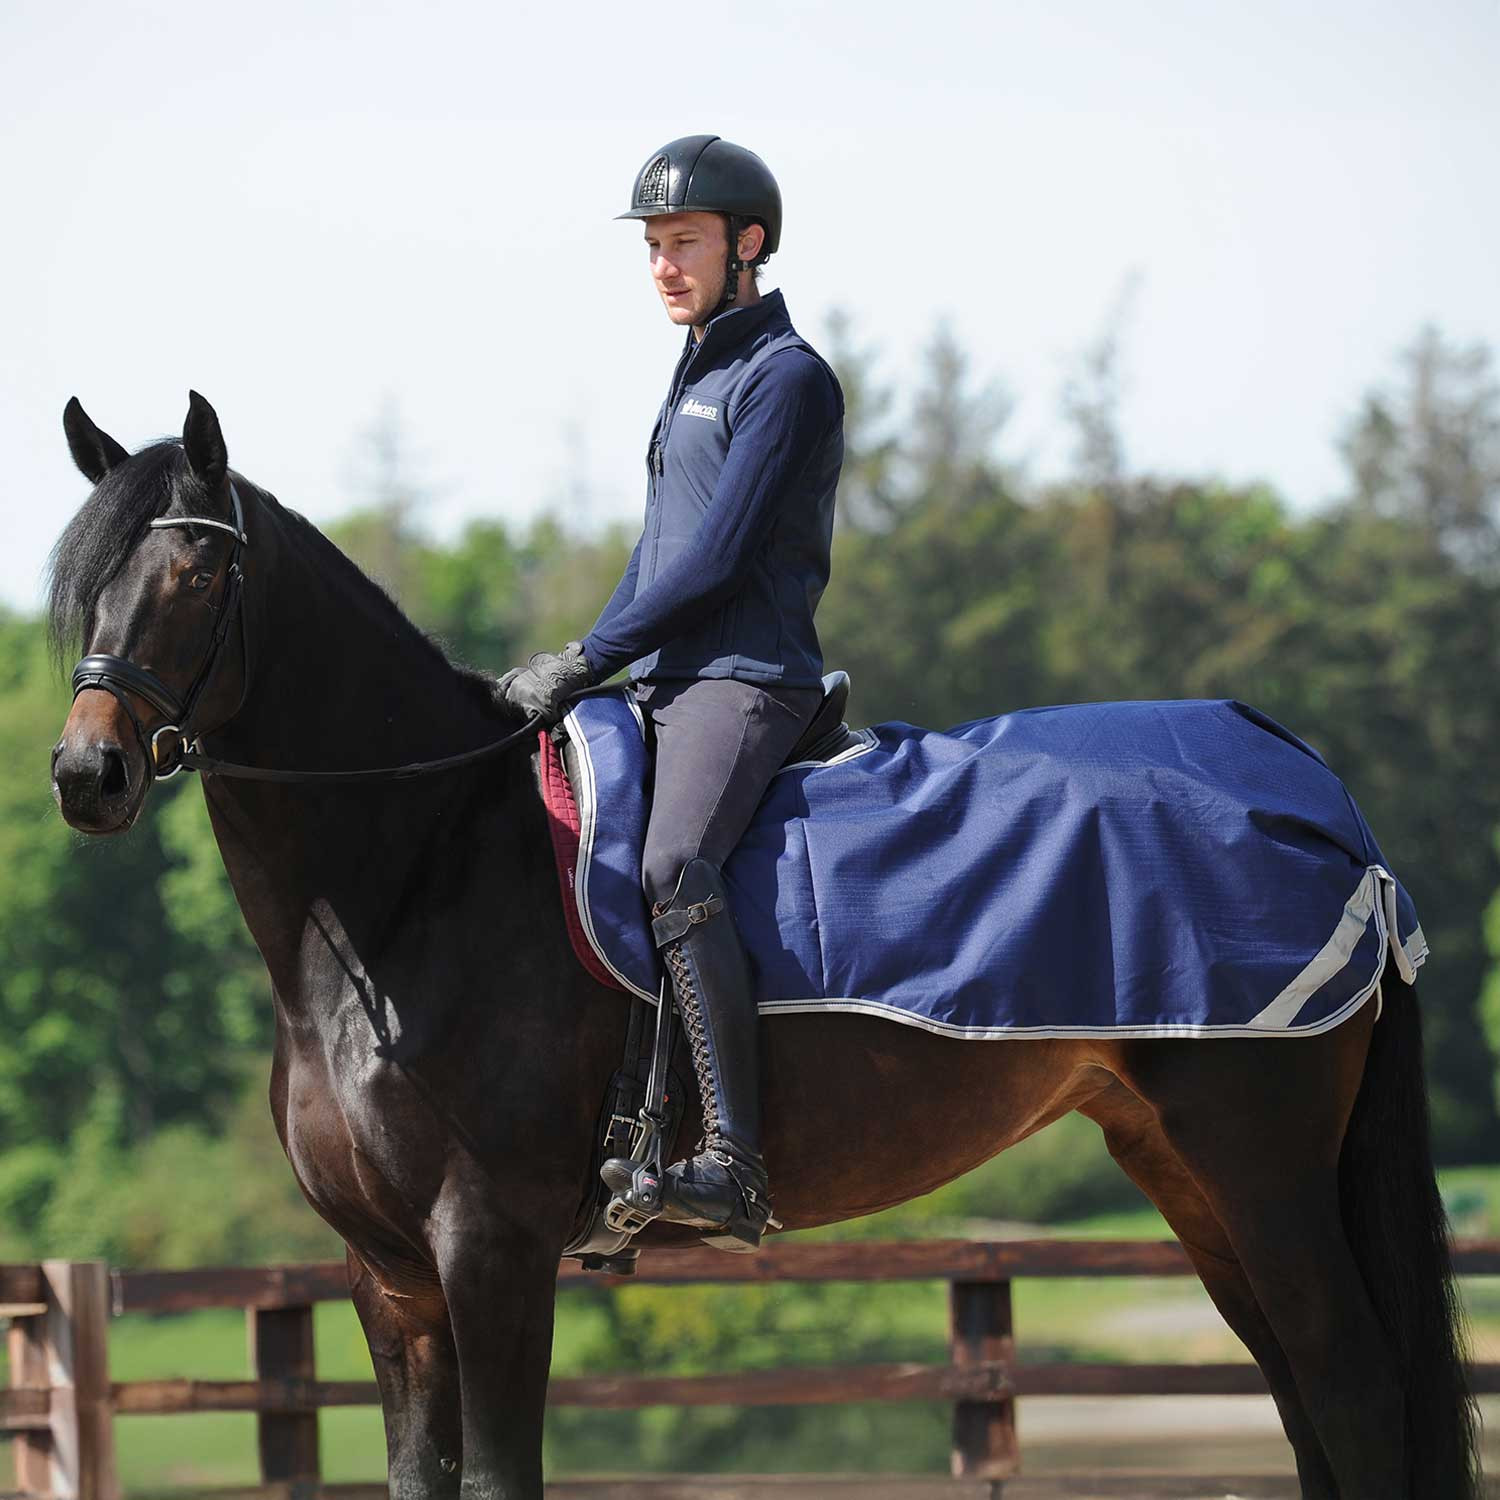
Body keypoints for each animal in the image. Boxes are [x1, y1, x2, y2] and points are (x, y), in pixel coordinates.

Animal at [47, 394, 1479, 1500]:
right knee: (1304, 1400)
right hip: (1191, 1174)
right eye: (80, 587)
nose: (85, 773)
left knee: (1352, 1392)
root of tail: (1307, 785)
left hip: (1262, 1168)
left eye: (198, 576)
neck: (415, 877)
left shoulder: (490, 1249)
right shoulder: (389, 1279)